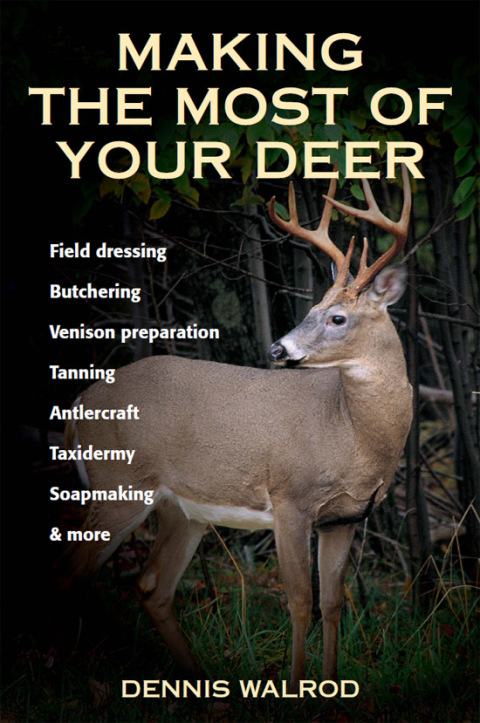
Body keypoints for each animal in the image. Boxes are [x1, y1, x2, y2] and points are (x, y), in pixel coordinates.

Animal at [57, 166, 413, 692]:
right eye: (309, 309)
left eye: (337, 316)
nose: (278, 349)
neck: (352, 434)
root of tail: (80, 403)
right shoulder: (290, 499)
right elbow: (300, 602)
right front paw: (298, 688)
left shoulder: (344, 517)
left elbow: (332, 603)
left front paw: (330, 689)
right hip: (118, 485)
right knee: (71, 572)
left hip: (183, 510)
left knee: (151, 585)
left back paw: (198, 681)